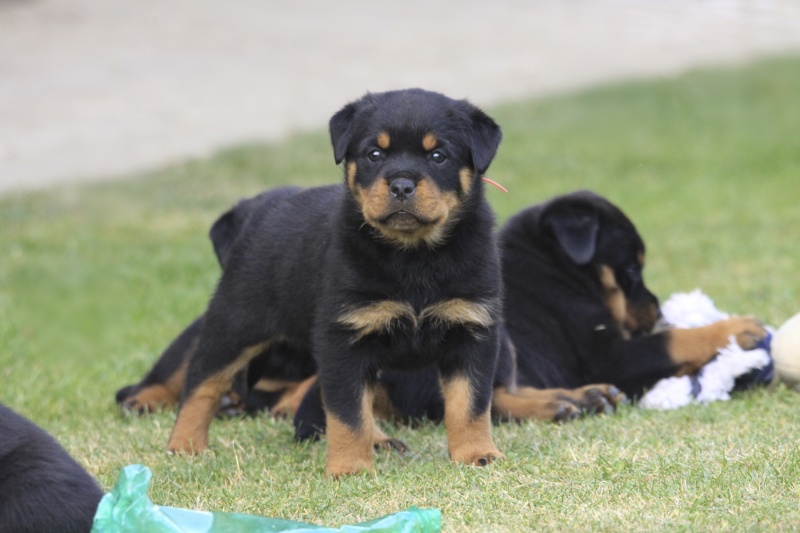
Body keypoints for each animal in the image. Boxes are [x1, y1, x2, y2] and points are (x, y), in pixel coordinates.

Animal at [165, 87, 510, 474]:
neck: (413, 256)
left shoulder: (472, 331)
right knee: (202, 381)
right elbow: (347, 412)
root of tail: (259, 209)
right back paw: (184, 444)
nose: (401, 185)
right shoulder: (344, 338)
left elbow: (471, 403)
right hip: (236, 322)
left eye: (438, 156)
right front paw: (350, 468)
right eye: (374, 154)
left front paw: (476, 453)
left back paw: (380, 441)